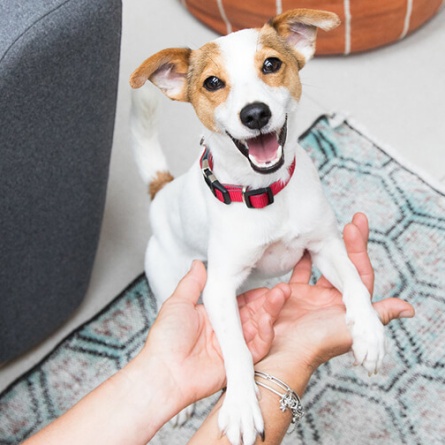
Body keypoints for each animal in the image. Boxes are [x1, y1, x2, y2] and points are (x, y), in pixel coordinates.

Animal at [129, 7, 386, 444]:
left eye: (271, 64)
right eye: (212, 83)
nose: (255, 114)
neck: (264, 194)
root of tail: (161, 191)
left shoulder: (325, 245)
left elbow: (353, 280)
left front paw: (368, 333)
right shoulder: (217, 289)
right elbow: (236, 348)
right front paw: (240, 405)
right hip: (169, 280)